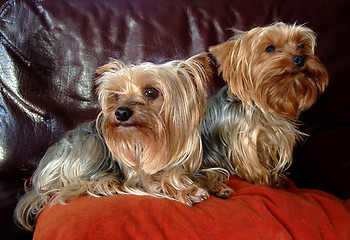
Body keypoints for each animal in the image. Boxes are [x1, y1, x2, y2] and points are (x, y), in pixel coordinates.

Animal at [200, 22, 328, 188]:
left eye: (301, 45)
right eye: (270, 48)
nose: (300, 58)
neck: (264, 107)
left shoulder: (271, 137)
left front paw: (276, 179)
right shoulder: (244, 135)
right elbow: (249, 160)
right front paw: (261, 178)